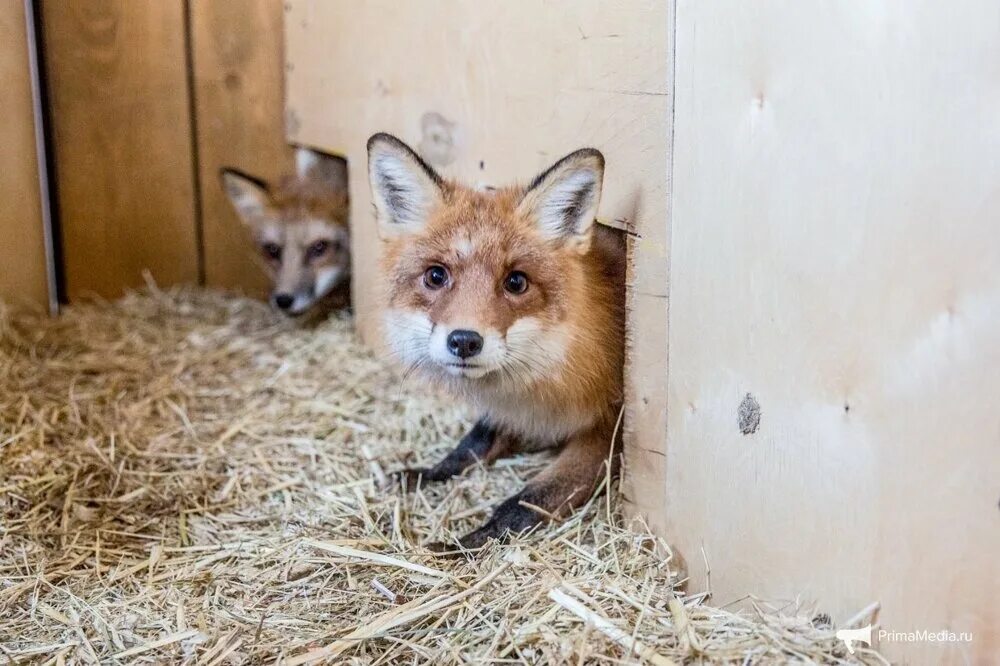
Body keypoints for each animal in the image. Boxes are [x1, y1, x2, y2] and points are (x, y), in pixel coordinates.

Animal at [368, 132, 624, 548]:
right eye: (436, 276)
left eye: (516, 282)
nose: (464, 341)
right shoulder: (514, 409)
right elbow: (470, 447)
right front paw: (425, 473)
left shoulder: (607, 433)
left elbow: (522, 504)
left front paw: (460, 546)